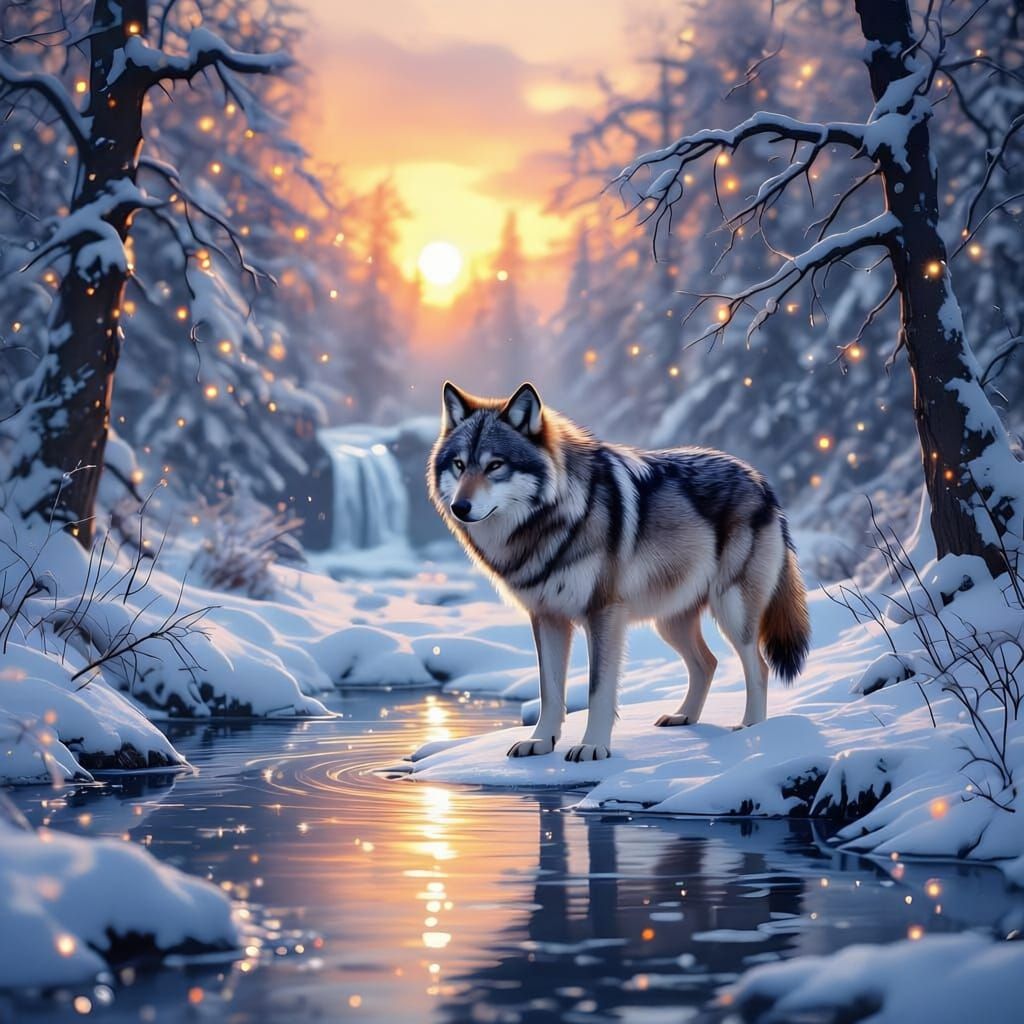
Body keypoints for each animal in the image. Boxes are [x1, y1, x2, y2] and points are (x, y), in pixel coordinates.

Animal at [427, 381, 810, 762]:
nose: (460, 507)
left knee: (758, 665)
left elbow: (598, 689)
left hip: (731, 612)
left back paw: (752, 729)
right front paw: (540, 741)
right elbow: (549, 690)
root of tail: (759, 479)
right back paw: (684, 717)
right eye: (459, 465)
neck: (554, 518)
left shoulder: (603, 613)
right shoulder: (546, 617)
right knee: (708, 663)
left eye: (495, 465)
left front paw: (592, 746)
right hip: (669, 622)